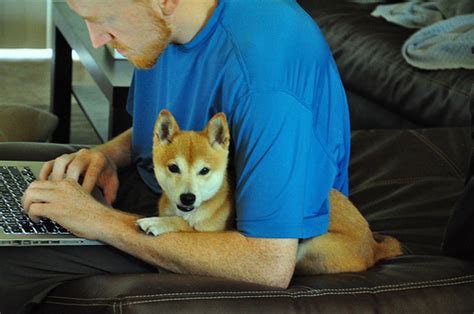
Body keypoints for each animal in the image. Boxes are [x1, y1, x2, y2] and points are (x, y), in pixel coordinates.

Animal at [135, 110, 402, 274]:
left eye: (204, 171)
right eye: (173, 168)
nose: (188, 197)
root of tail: (373, 247)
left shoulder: (216, 234)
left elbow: (187, 226)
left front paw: (158, 223)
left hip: (314, 246)